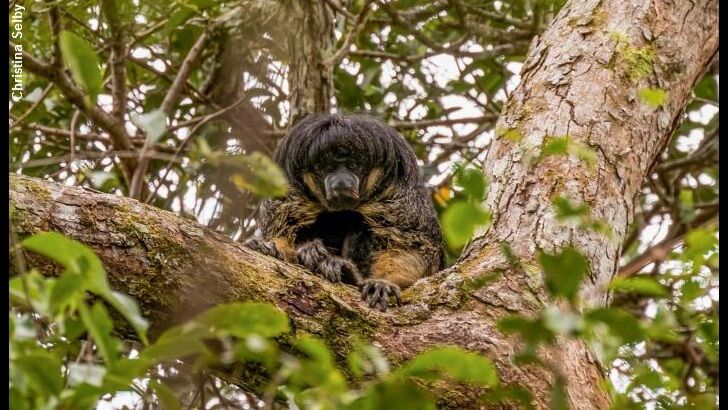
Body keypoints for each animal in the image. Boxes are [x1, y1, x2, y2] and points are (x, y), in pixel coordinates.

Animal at [245, 113, 444, 311]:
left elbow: (413, 245)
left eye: (352, 165)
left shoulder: (399, 189)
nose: (341, 181)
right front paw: (271, 248)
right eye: (329, 168)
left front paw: (383, 284)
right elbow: (284, 231)